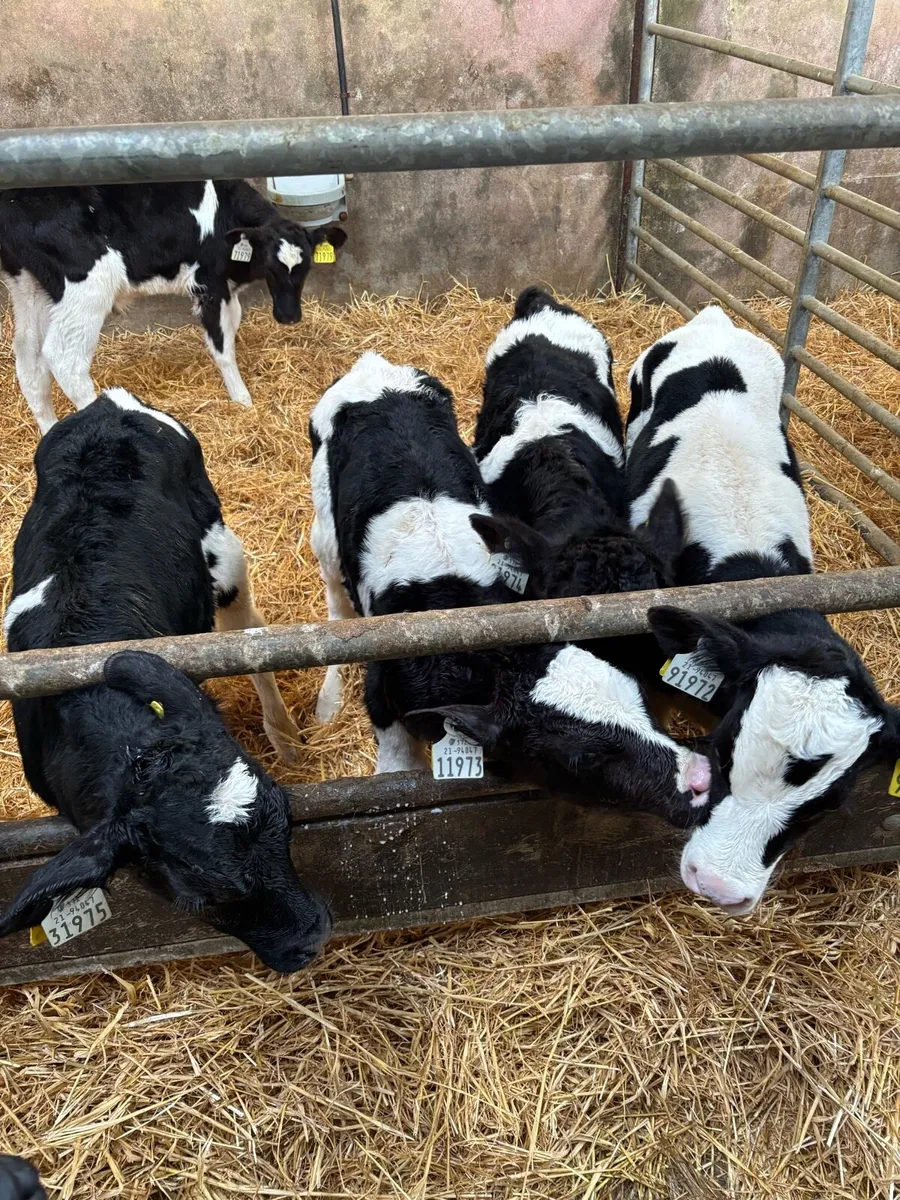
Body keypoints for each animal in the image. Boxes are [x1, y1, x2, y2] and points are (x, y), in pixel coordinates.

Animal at [0, 181, 347, 432]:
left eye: (307, 267)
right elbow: (222, 345)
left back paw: (50, 430)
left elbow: (232, 325)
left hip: (28, 286)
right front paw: (242, 399)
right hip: (88, 287)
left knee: (28, 357)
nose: (289, 317)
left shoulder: (226, 289)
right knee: (64, 359)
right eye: (270, 267)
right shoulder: (209, 283)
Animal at [0, 391, 329, 972]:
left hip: (224, 559)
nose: (314, 940)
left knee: (249, 635)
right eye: (203, 894)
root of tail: (107, 404)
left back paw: (284, 733)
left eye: (286, 821)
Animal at [308, 351, 711, 825]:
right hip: (324, 527)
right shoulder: (382, 698)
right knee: (336, 601)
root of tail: (372, 365)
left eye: (637, 696)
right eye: (582, 760)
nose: (700, 779)